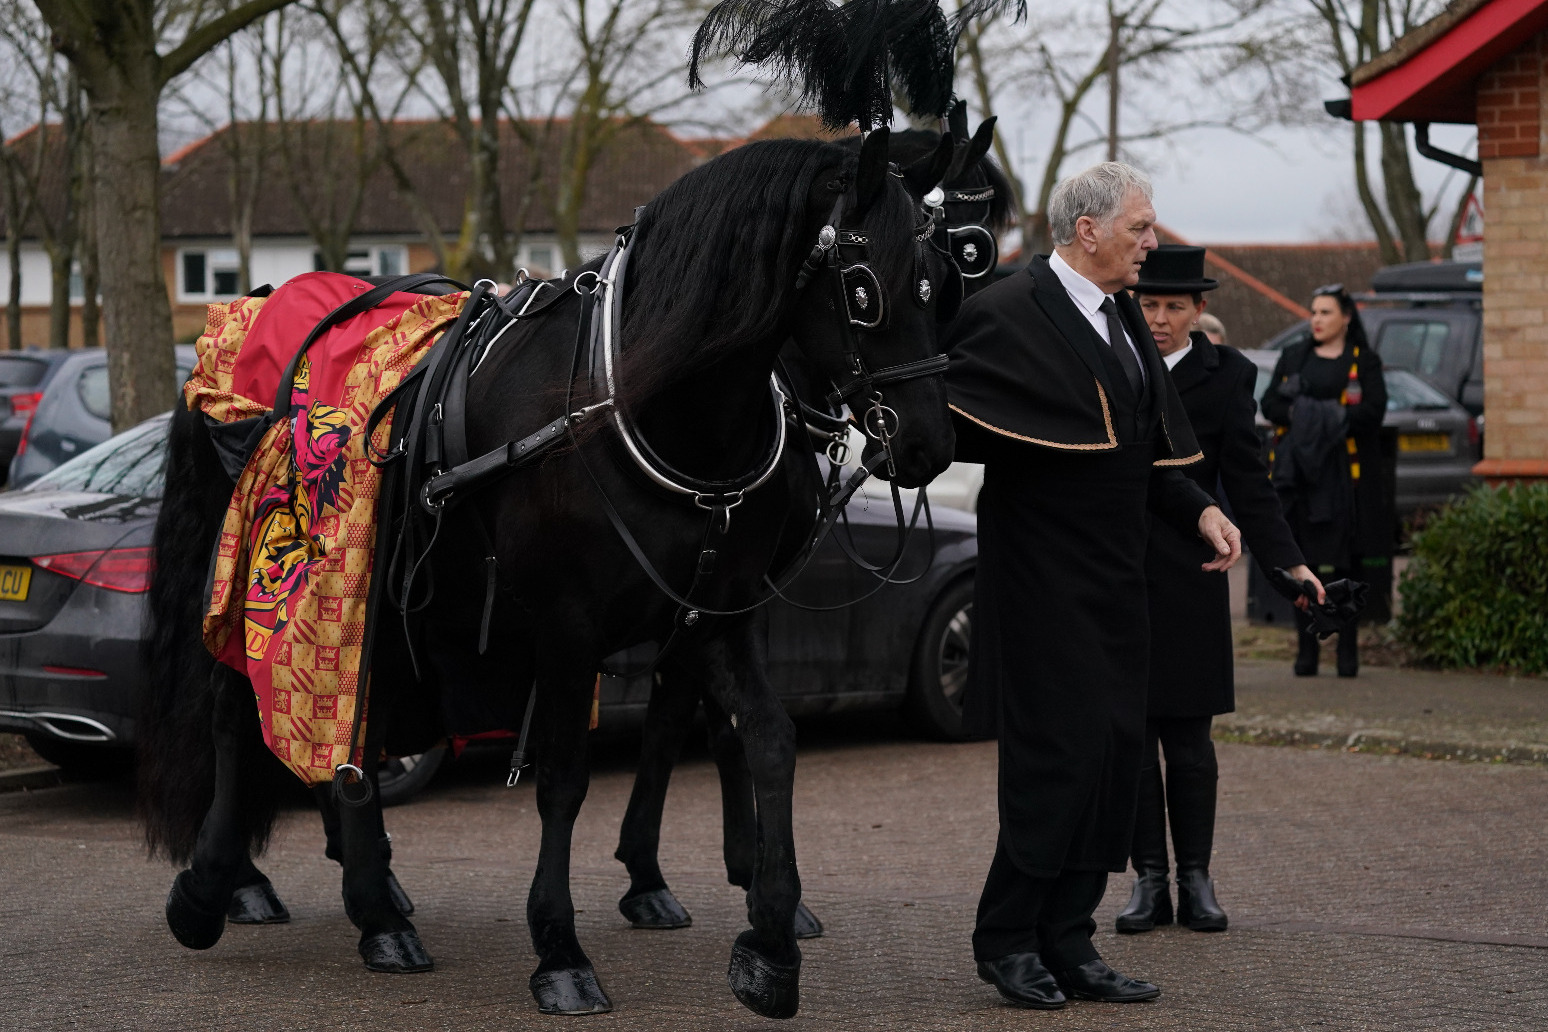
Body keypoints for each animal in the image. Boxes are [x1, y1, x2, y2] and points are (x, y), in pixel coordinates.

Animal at [145, 129, 959, 1014]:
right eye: (863, 289)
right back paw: (219, 889)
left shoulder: (718, 615)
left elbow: (767, 739)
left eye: (947, 279)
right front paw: (562, 950)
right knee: (240, 707)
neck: (638, 403)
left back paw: (376, 905)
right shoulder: (568, 629)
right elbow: (565, 778)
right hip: (282, 572)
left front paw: (770, 939)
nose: (928, 444)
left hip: (380, 601)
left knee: (354, 726)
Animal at [609, 111, 1021, 934]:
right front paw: (709, 874)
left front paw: (696, 870)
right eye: (966, 249)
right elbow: (704, 712)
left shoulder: (725, 588)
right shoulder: (723, 588)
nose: (932, 440)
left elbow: (689, 708)